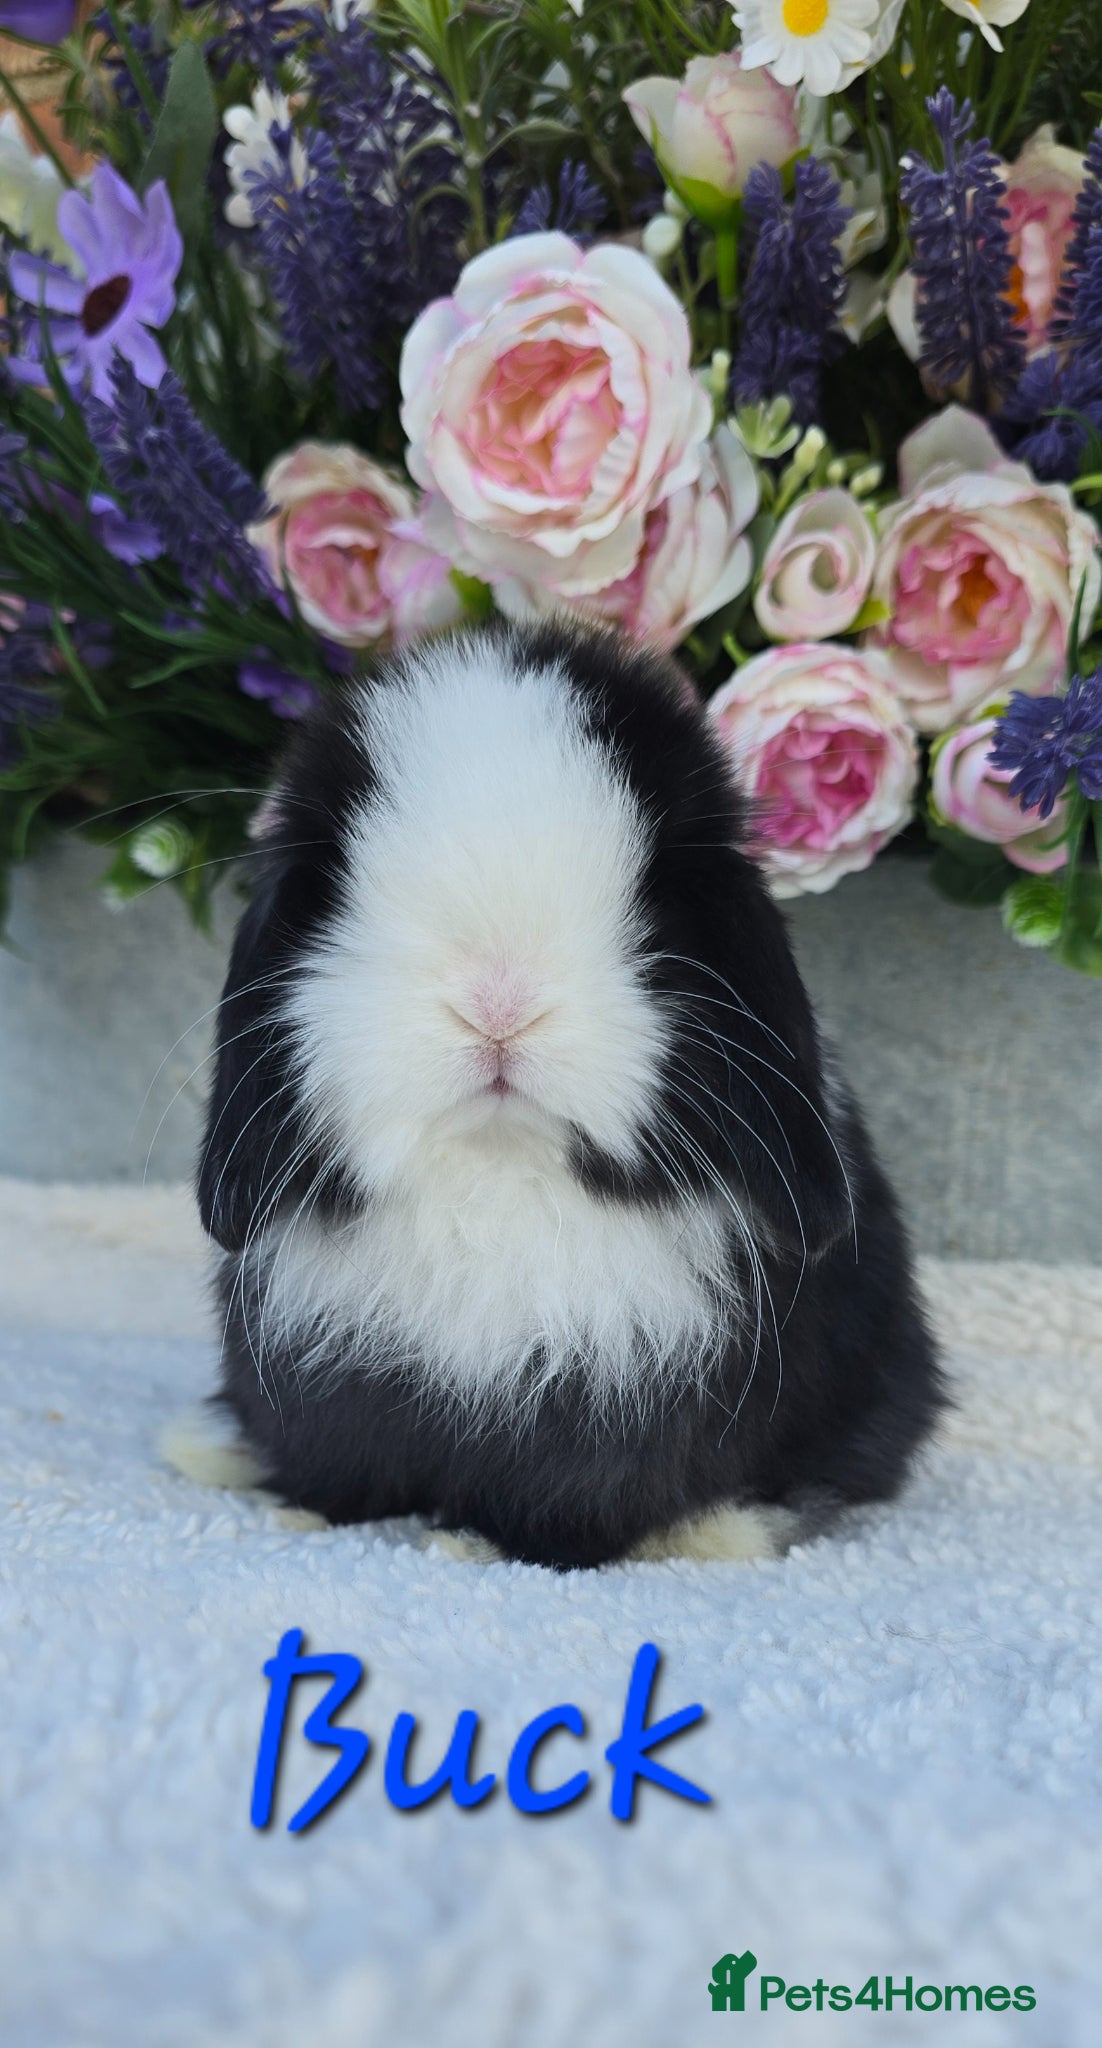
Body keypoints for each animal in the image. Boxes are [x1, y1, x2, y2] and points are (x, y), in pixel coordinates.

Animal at [172, 619, 944, 1569]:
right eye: (342, 891)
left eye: (652, 905)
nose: (499, 1002)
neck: (497, 1175)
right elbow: (340, 1474)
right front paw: (303, 1513)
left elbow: (572, 1511)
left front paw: (470, 1543)